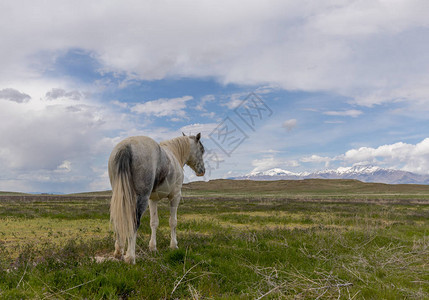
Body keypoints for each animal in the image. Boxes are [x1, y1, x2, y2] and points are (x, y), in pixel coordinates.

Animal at [108, 133, 206, 262]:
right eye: (202, 150)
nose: (202, 171)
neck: (174, 153)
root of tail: (126, 146)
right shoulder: (175, 196)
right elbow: (173, 222)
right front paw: (174, 245)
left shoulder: (153, 200)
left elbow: (154, 222)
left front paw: (153, 247)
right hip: (141, 198)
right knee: (134, 222)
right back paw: (130, 257)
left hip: (123, 196)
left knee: (120, 219)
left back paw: (119, 251)